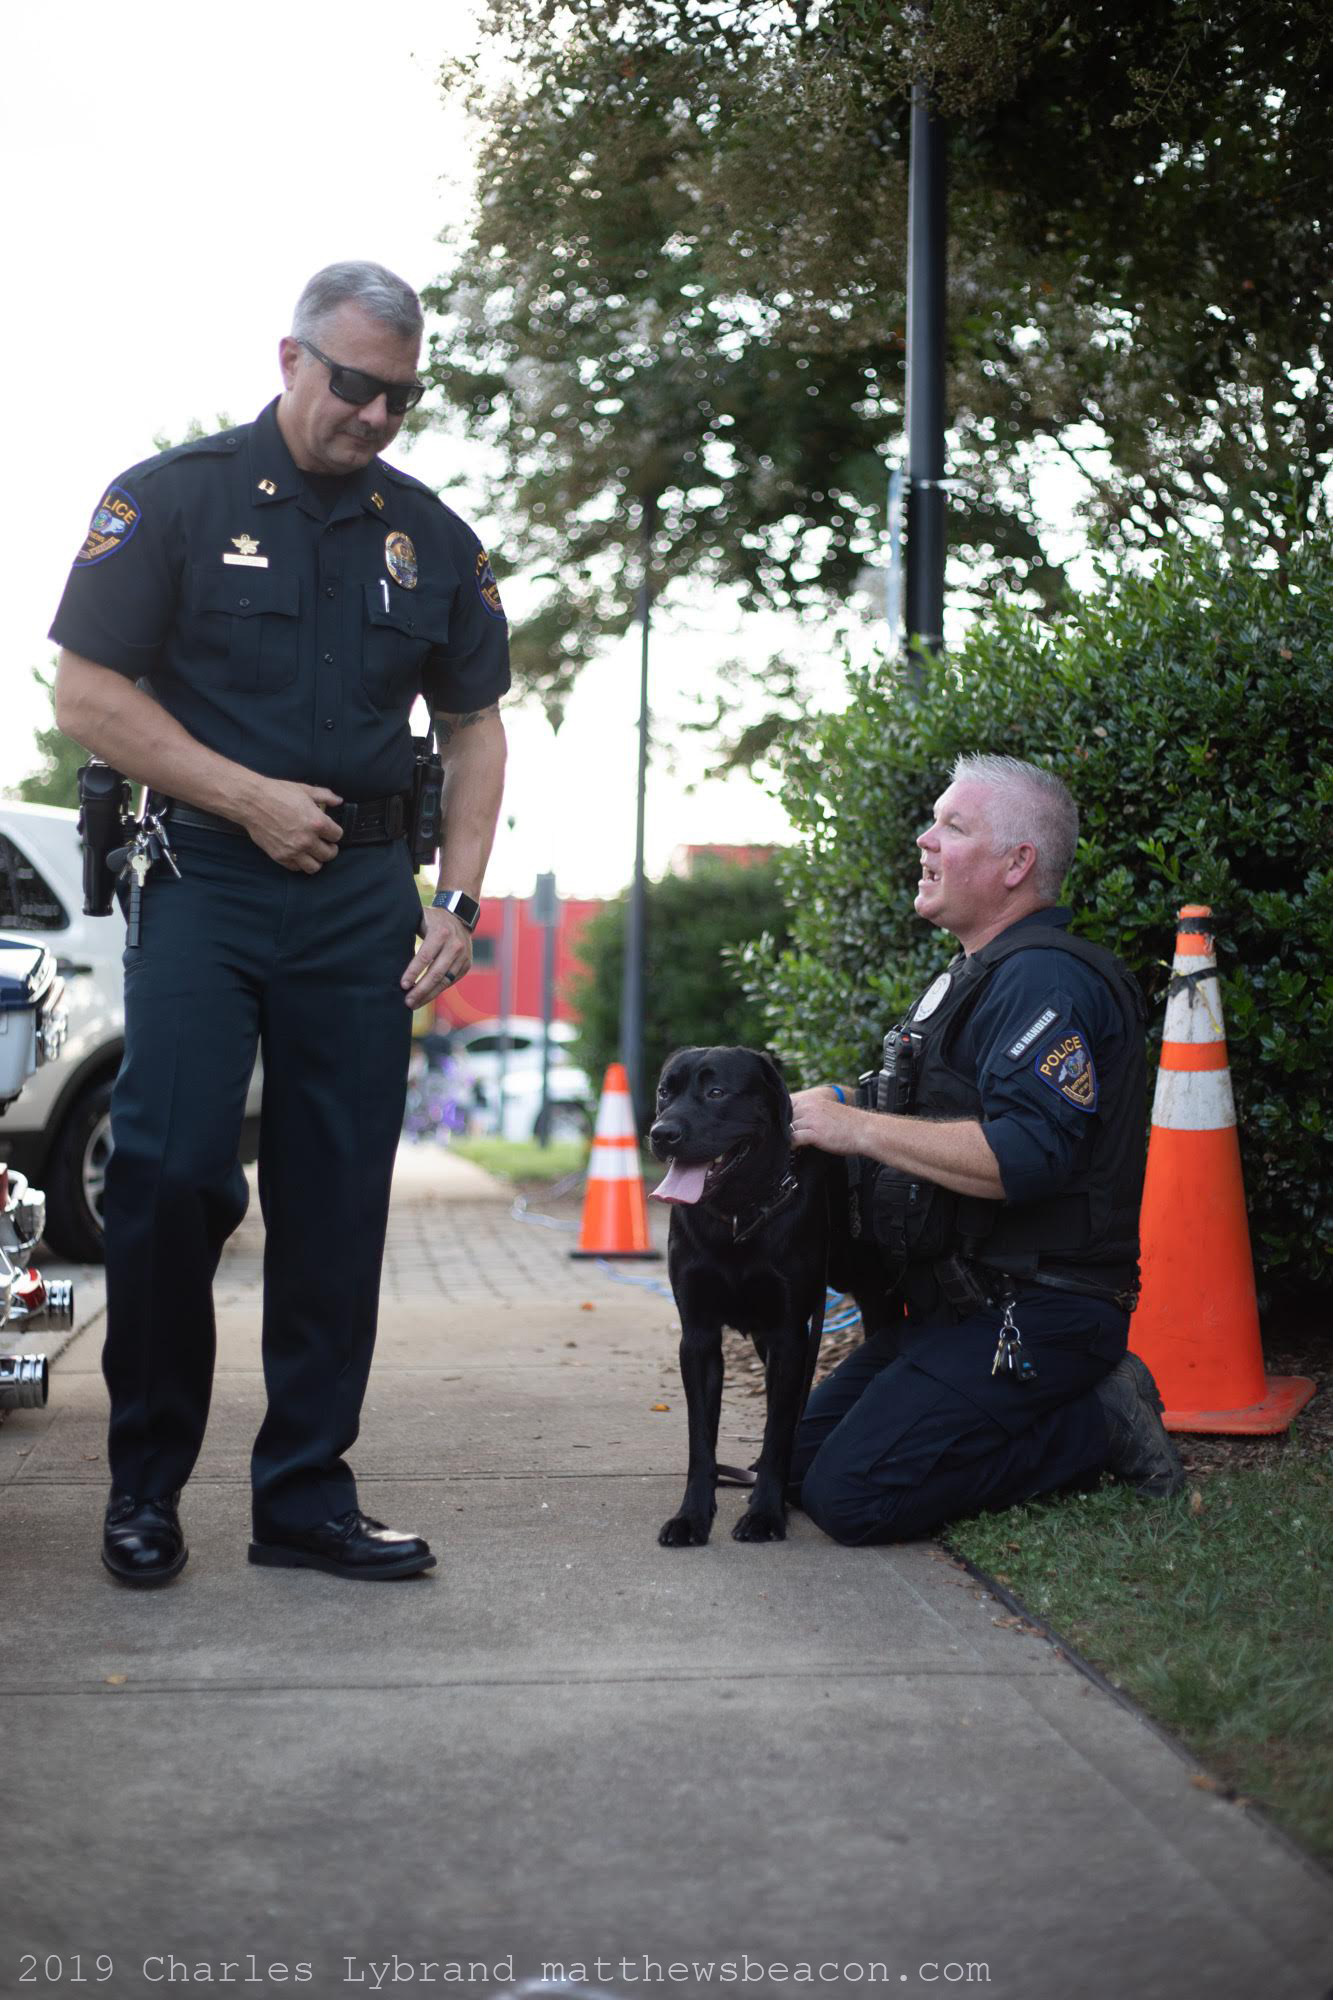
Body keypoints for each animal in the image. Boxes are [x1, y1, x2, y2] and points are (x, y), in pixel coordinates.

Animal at [648, 1048, 888, 1544]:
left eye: (716, 1091)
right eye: (665, 1091)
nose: (662, 1134)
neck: (738, 1215)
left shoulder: (788, 1336)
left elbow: (779, 1430)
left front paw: (765, 1513)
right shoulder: (698, 1336)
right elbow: (701, 1439)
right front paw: (692, 1517)